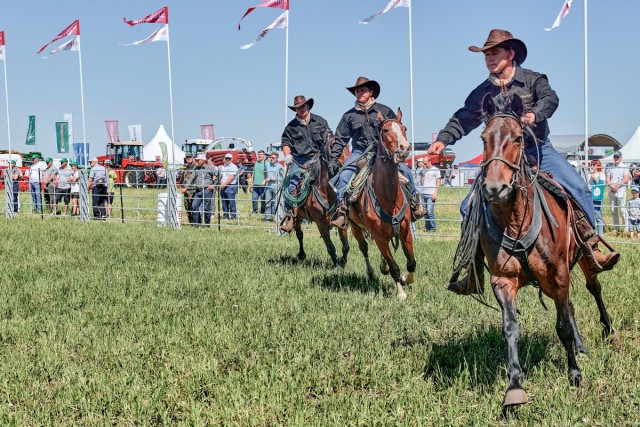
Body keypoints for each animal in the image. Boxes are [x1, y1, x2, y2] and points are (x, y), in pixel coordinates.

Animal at [288, 134, 350, 268]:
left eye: (348, 146)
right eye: (334, 146)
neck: (327, 192)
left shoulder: (341, 221)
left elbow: (345, 246)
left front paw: (342, 262)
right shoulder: (319, 222)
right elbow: (331, 247)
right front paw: (336, 264)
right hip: (298, 217)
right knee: (299, 234)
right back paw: (302, 254)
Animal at [344, 110, 416, 300]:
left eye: (404, 128)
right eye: (385, 130)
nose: (404, 148)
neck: (388, 197)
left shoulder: (405, 230)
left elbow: (411, 262)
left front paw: (407, 279)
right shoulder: (378, 236)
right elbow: (394, 267)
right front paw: (401, 293)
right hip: (356, 228)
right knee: (364, 249)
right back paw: (371, 272)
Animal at [476, 93, 620, 408]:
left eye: (518, 137)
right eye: (483, 138)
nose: (494, 188)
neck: (517, 219)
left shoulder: (559, 273)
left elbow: (562, 324)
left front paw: (574, 374)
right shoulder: (503, 281)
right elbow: (511, 327)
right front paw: (514, 386)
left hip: (583, 262)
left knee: (594, 290)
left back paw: (609, 332)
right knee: (570, 305)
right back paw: (581, 346)